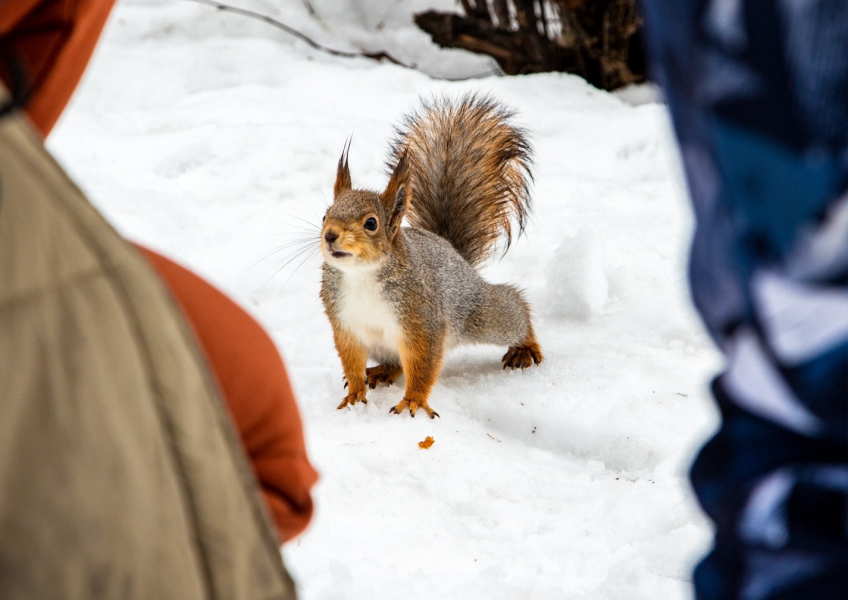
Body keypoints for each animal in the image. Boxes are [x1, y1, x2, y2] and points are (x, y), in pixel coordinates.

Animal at [319, 94, 543, 419]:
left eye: (371, 223)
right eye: (324, 216)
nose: (330, 235)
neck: (361, 275)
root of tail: (452, 250)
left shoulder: (422, 321)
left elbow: (423, 364)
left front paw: (413, 401)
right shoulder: (345, 324)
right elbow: (352, 361)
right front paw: (354, 395)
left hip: (480, 314)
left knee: (512, 309)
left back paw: (524, 348)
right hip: (382, 344)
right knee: (395, 362)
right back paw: (381, 372)